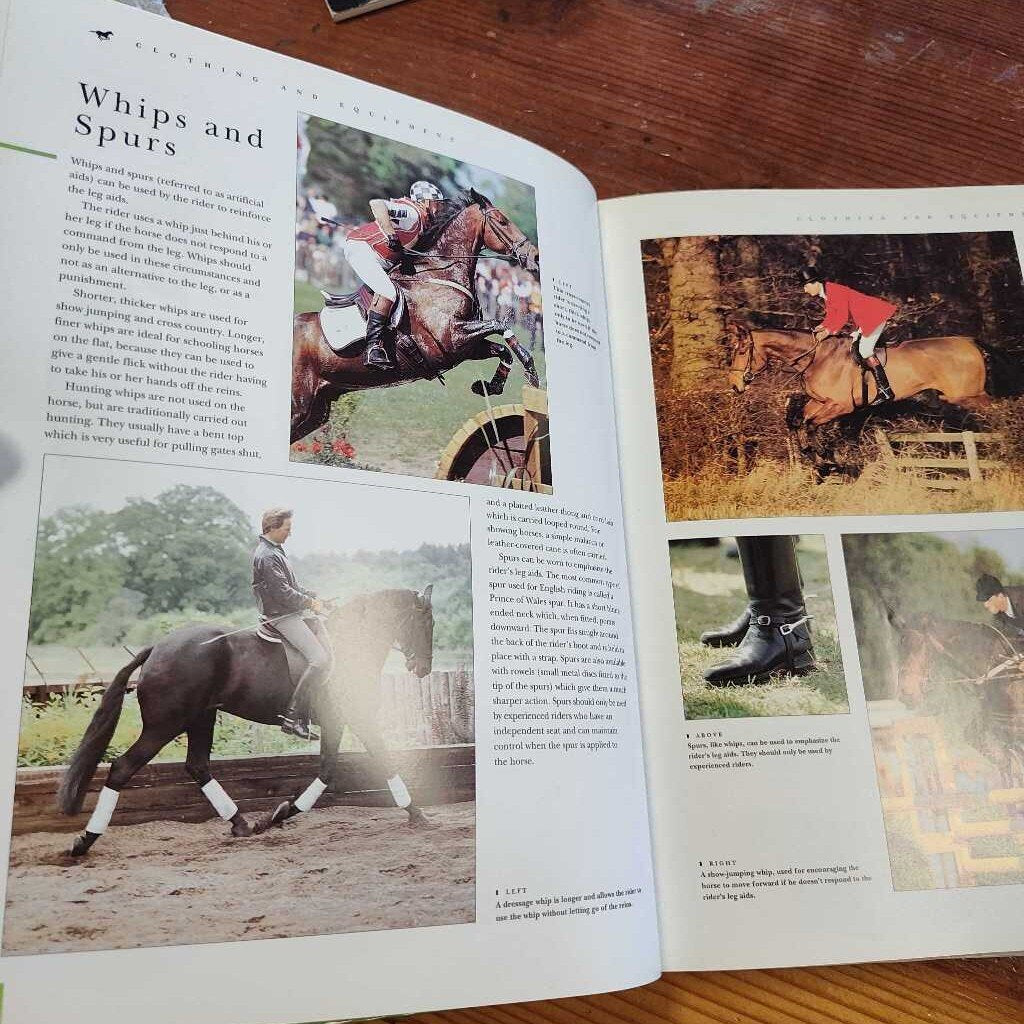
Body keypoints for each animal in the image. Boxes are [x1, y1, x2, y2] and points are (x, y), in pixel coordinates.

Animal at [57, 587, 436, 857]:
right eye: (426, 623)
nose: (423, 669)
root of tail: (158, 648)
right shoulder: (350, 717)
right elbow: (355, 766)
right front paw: (281, 813)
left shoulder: (347, 720)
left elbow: (358, 765)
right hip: (165, 725)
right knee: (122, 768)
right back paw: (85, 841)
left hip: (201, 717)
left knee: (197, 766)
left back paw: (241, 825)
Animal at [291, 189, 541, 444]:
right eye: (503, 221)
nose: (535, 256)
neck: (440, 273)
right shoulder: (450, 340)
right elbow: (499, 323)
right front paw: (528, 369)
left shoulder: (466, 348)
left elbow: (502, 350)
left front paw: (492, 386)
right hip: (299, 405)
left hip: (316, 410)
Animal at [724, 324, 989, 427]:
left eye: (741, 351)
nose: (734, 385)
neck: (817, 356)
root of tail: (969, 342)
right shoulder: (820, 402)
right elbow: (803, 420)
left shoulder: (842, 405)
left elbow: (811, 423)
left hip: (967, 395)